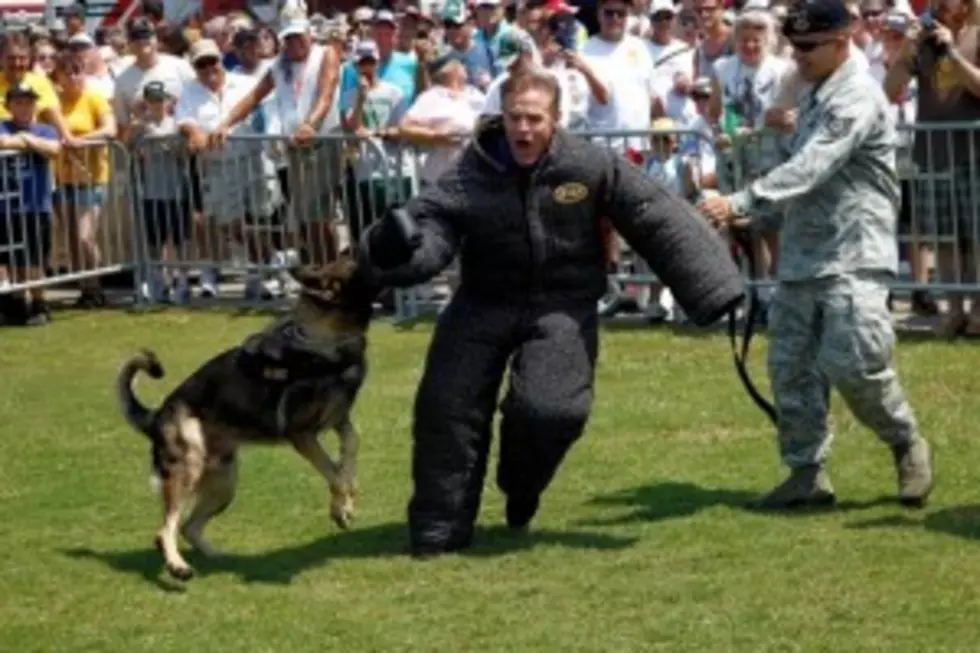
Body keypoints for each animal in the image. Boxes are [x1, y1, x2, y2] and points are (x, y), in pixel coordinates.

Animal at [115, 258, 376, 580]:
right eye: (354, 262)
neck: (324, 340)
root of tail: (156, 415)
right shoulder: (302, 434)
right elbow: (335, 473)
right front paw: (341, 505)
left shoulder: (339, 420)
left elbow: (350, 450)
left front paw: (346, 502)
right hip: (188, 468)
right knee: (165, 530)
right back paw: (178, 567)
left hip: (224, 484)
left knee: (188, 527)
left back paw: (220, 558)